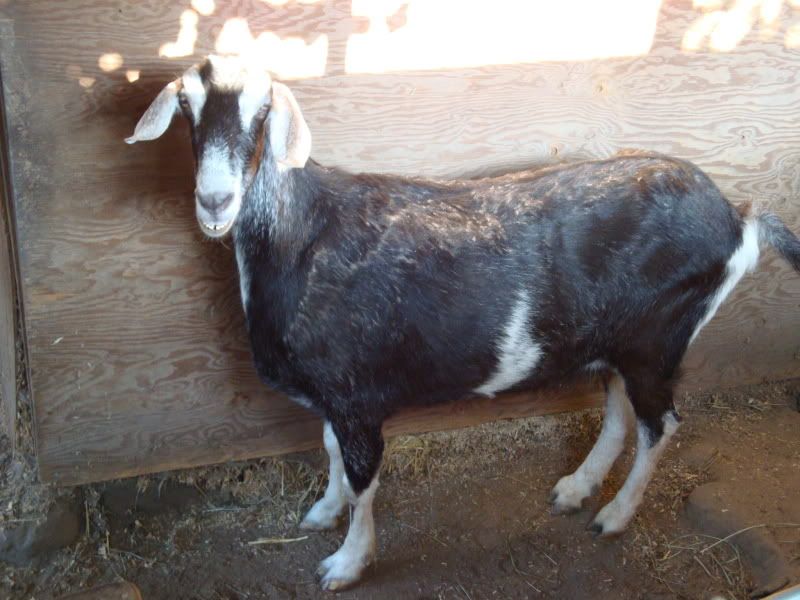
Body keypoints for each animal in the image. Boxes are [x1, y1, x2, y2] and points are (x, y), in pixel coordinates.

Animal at [127, 55, 800, 590]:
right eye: (185, 104)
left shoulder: (358, 396)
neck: (302, 237)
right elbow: (330, 452)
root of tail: (739, 216)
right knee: (618, 415)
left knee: (661, 425)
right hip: (613, 345)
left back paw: (614, 516)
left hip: (657, 342)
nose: (215, 201)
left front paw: (346, 564)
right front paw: (323, 511)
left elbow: (365, 479)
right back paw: (575, 490)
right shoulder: (335, 398)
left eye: (264, 108)